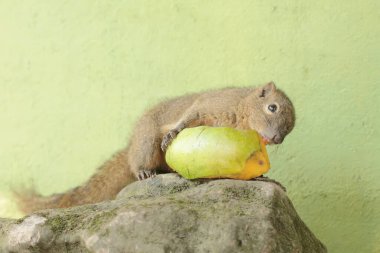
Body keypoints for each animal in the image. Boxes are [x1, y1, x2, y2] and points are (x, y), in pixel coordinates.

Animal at [14, 81, 296, 213]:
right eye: (272, 107)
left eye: (290, 128)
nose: (276, 138)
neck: (242, 112)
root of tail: (131, 146)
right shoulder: (210, 105)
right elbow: (189, 117)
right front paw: (173, 132)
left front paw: (266, 178)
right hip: (147, 142)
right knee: (142, 160)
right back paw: (144, 171)